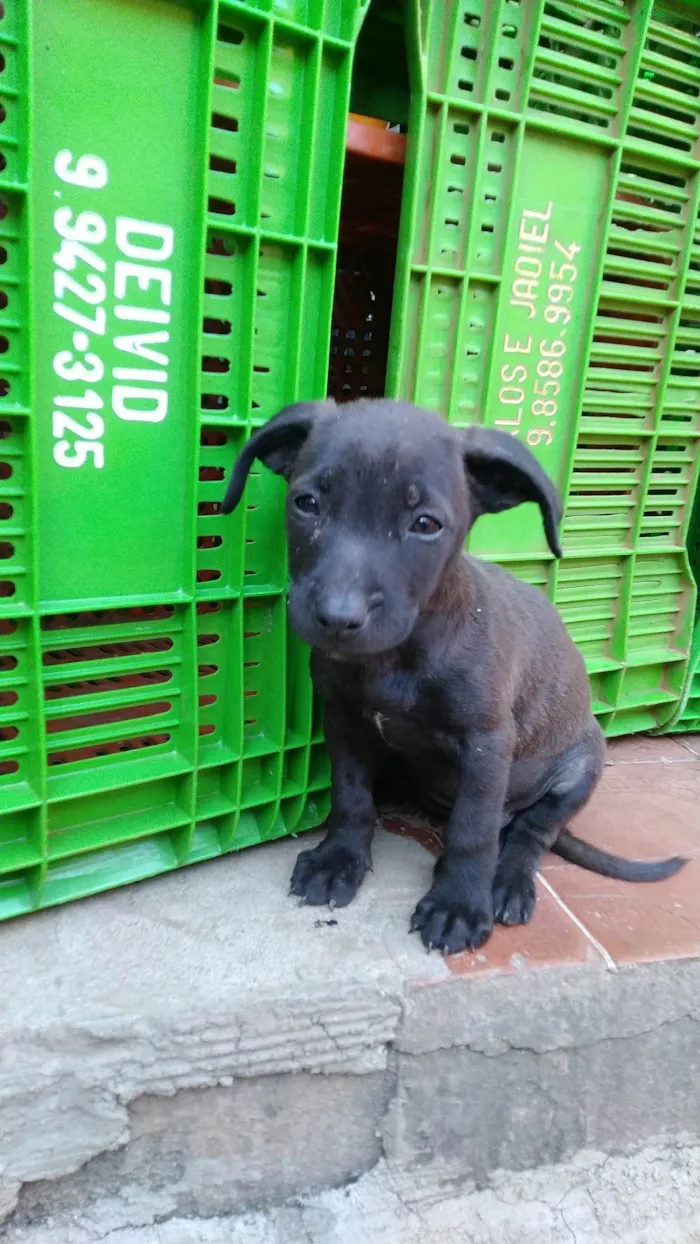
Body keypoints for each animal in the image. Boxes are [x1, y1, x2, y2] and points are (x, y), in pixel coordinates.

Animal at [225, 398, 686, 950]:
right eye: (307, 503)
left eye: (426, 524)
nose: (337, 617)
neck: (396, 659)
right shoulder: (346, 722)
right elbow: (352, 797)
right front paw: (338, 862)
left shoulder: (487, 744)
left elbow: (474, 829)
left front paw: (459, 905)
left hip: (582, 764)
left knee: (530, 833)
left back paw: (505, 884)